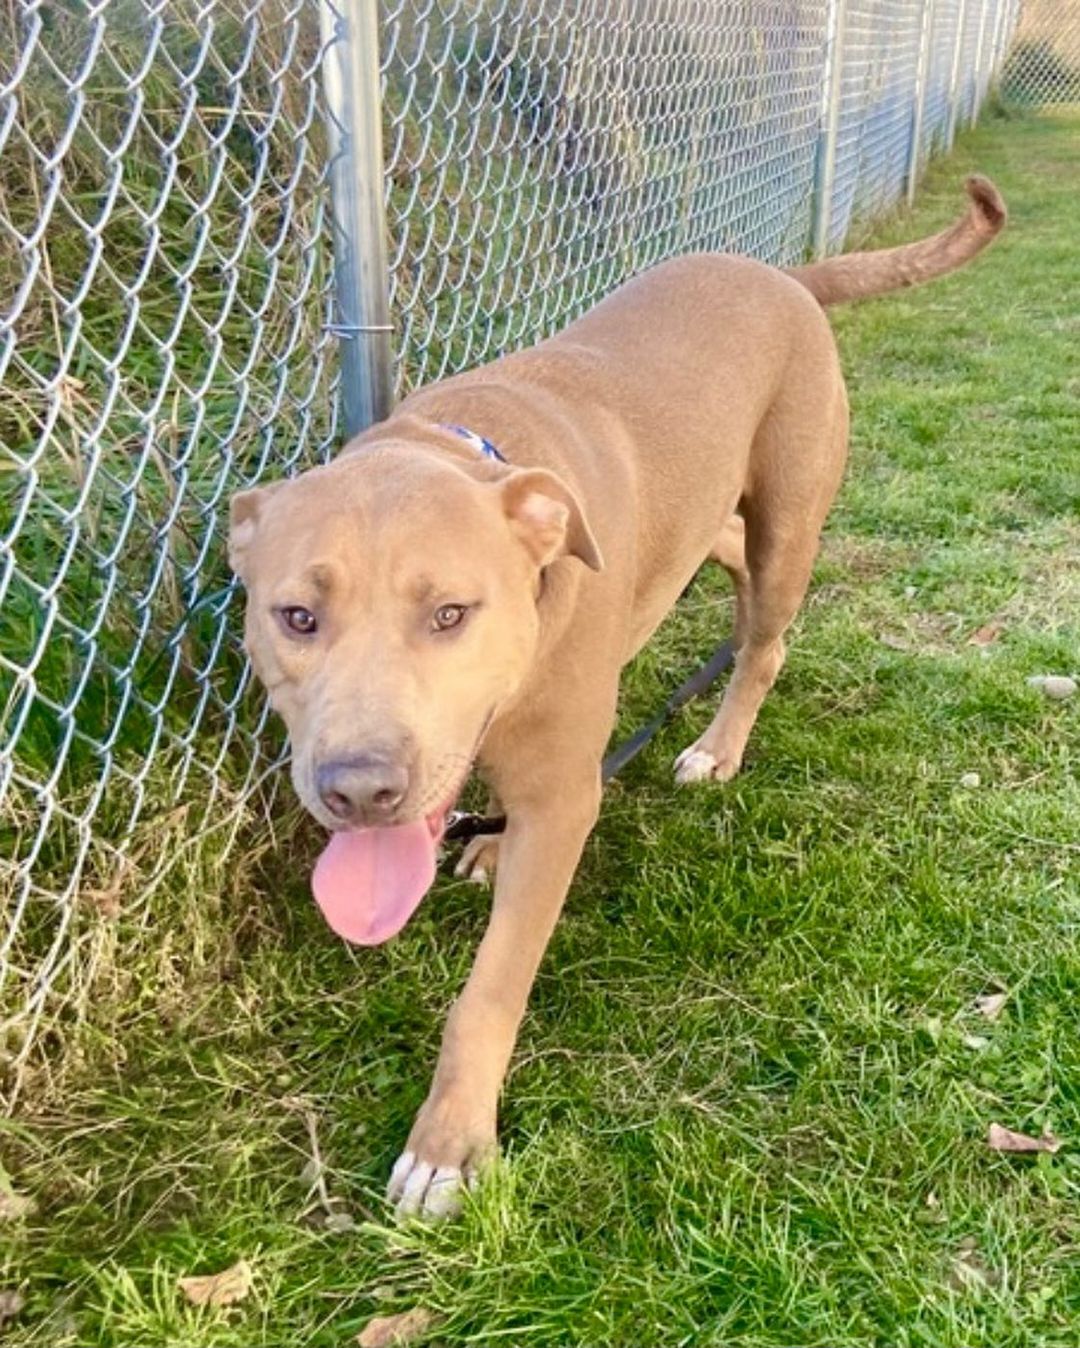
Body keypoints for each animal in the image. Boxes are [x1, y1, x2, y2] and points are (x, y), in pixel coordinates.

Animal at [227, 173, 1003, 1218]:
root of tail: (782, 278)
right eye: (297, 616)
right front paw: (488, 846)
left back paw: (720, 745)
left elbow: (488, 992)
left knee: (764, 640)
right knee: (718, 559)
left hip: (788, 528)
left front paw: (449, 1143)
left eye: (450, 614)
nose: (359, 790)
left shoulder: (563, 801)